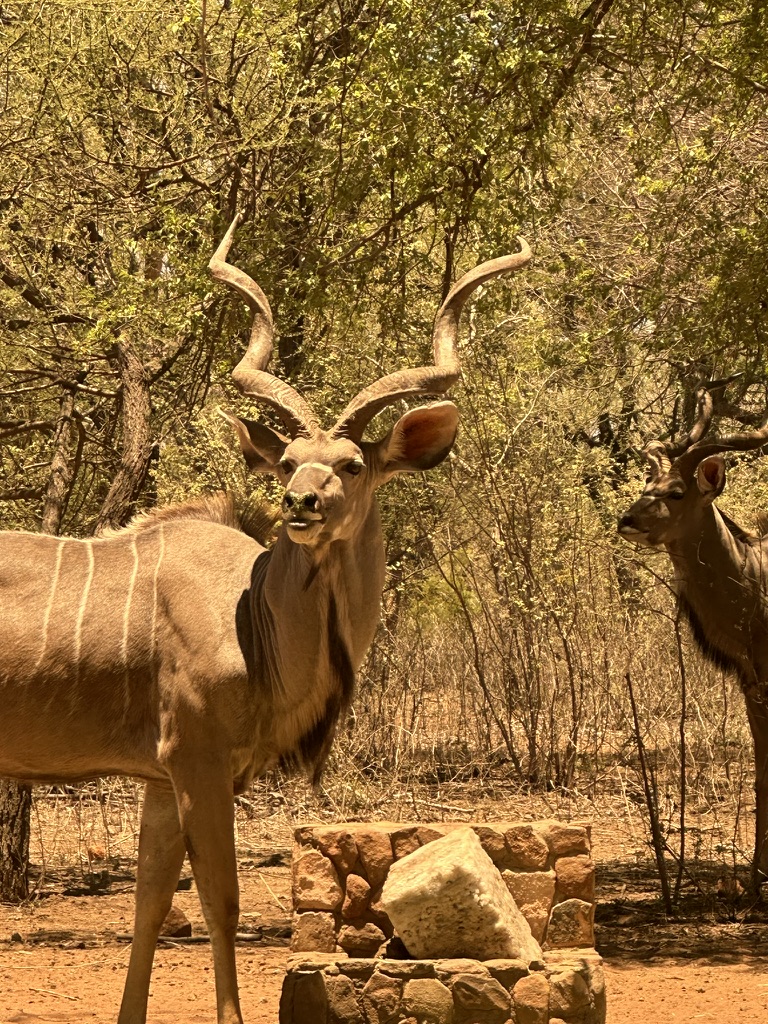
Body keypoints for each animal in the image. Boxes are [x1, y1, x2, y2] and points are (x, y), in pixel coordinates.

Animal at [0, 211, 532, 1019]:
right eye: (287, 463)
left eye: (352, 464)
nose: (301, 502)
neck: (253, 617)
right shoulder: (198, 759)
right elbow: (220, 902)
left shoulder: (162, 776)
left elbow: (151, 904)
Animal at [618, 387, 768, 884]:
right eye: (648, 482)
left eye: (676, 492)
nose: (626, 520)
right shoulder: (750, 682)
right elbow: (761, 769)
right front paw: (755, 876)